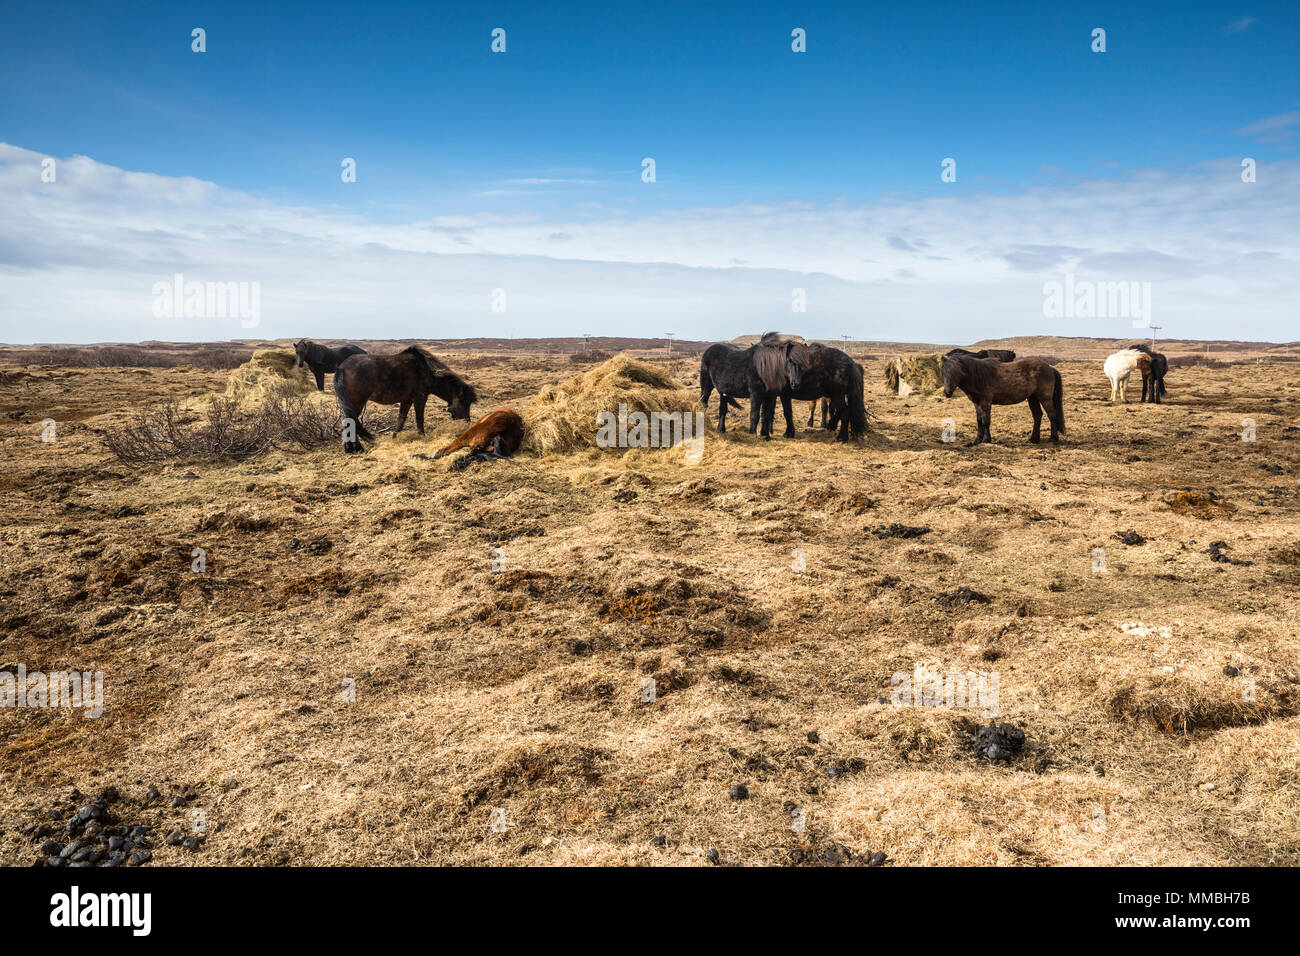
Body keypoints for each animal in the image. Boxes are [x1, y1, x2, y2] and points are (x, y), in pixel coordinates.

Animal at [333, 346, 477, 453]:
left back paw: (351, 448)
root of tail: (342, 367)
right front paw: (422, 436)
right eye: (464, 403)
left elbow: (401, 419)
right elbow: (419, 419)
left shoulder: (407, 400)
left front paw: (395, 437)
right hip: (357, 403)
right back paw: (356, 448)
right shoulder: (420, 398)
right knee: (350, 421)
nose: (467, 424)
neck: (428, 371)